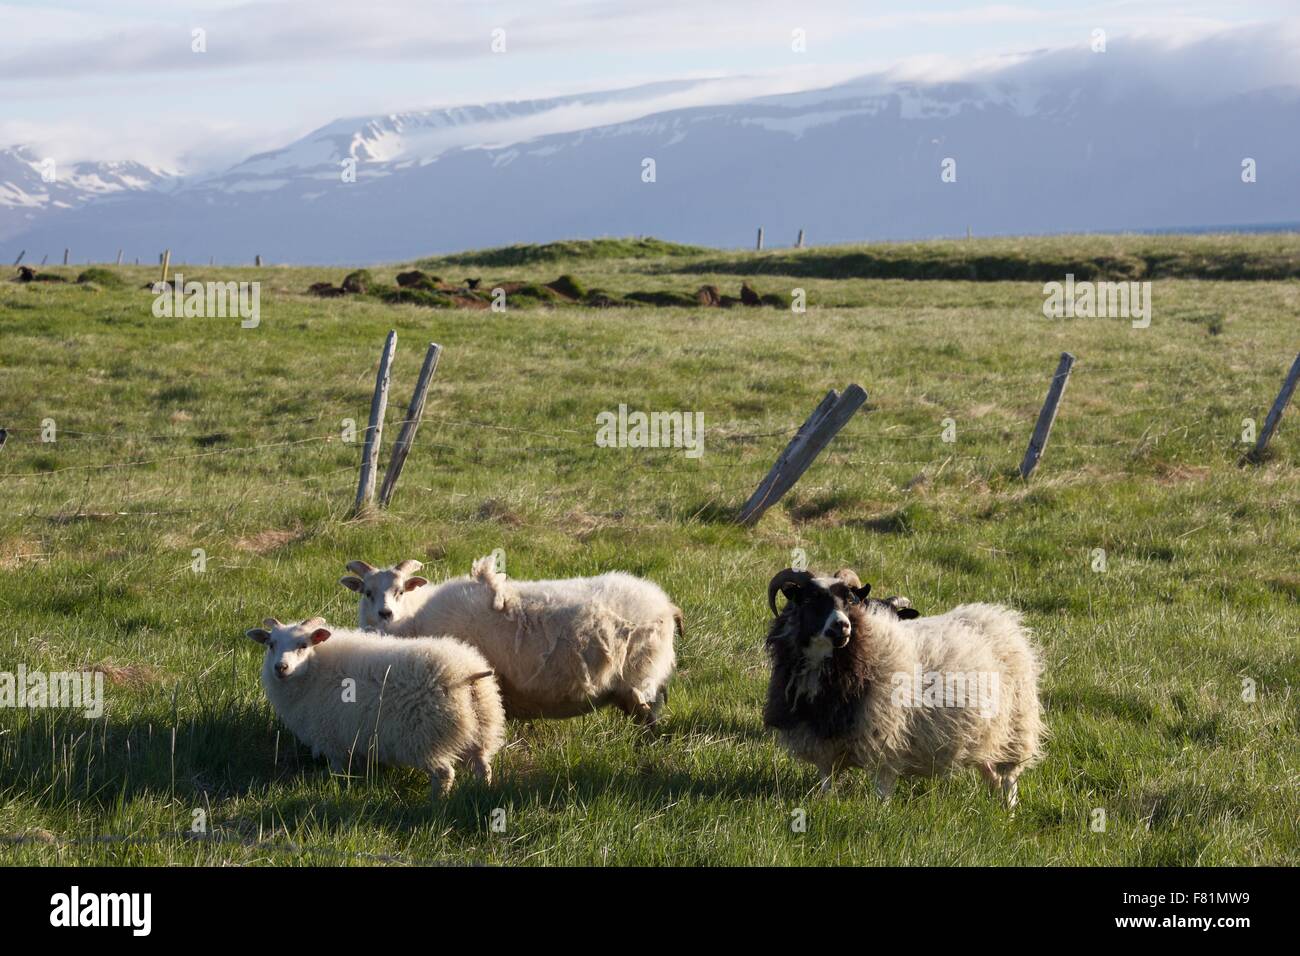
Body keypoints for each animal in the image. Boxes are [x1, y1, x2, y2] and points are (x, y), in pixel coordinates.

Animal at [245, 616, 504, 796]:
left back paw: (437, 803)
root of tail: (466, 673)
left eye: (303, 645)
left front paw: (334, 784)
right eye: (271, 644)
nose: (280, 667)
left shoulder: (331, 737)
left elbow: (337, 768)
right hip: (481, 730)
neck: (314, 671)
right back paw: (482, 792)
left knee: (444, 774)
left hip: (425, 739)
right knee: (483, 766)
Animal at [335, 554, 681, 723]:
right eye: (367, 592)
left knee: (650, 720)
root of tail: (666, 604)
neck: (414, 621)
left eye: (400, 590)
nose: (385, 614)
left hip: (640, 676)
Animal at [764, 567, 1040, 806]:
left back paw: (1009, 813)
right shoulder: (821, 739)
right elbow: (827, 782)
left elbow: (882, 789)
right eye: (811, 600)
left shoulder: (886, 736)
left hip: (1016, 728)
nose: (842, 626)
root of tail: (998, 618)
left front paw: (880, 816)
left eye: (849, 601)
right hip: (985, 734)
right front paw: (826, 805)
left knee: (1009, 779)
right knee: (992, 774)